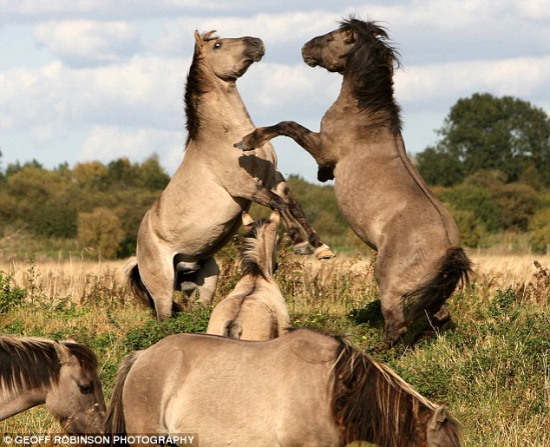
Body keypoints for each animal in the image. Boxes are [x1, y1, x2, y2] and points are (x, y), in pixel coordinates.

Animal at [128, 29, 336, 322]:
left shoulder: (274, 178)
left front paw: (320, 248)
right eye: (217, 44)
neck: (226, 135)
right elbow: (279, 204)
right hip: (163, 290)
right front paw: (298, 242)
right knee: (164, 317)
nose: (257, 42)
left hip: (205, 282)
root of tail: (139, 254)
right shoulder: (244, 187)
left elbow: (294, 205)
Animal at [235, 17, 472, 346]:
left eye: (332, 37)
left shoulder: (322, 145)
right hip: (426, 291)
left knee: (398, 324)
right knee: (437, 318)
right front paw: (322, 175)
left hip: (390, 282)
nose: (305, 48)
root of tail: (451, 249)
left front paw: (248, 141)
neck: (364, 116)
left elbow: (288, 125)